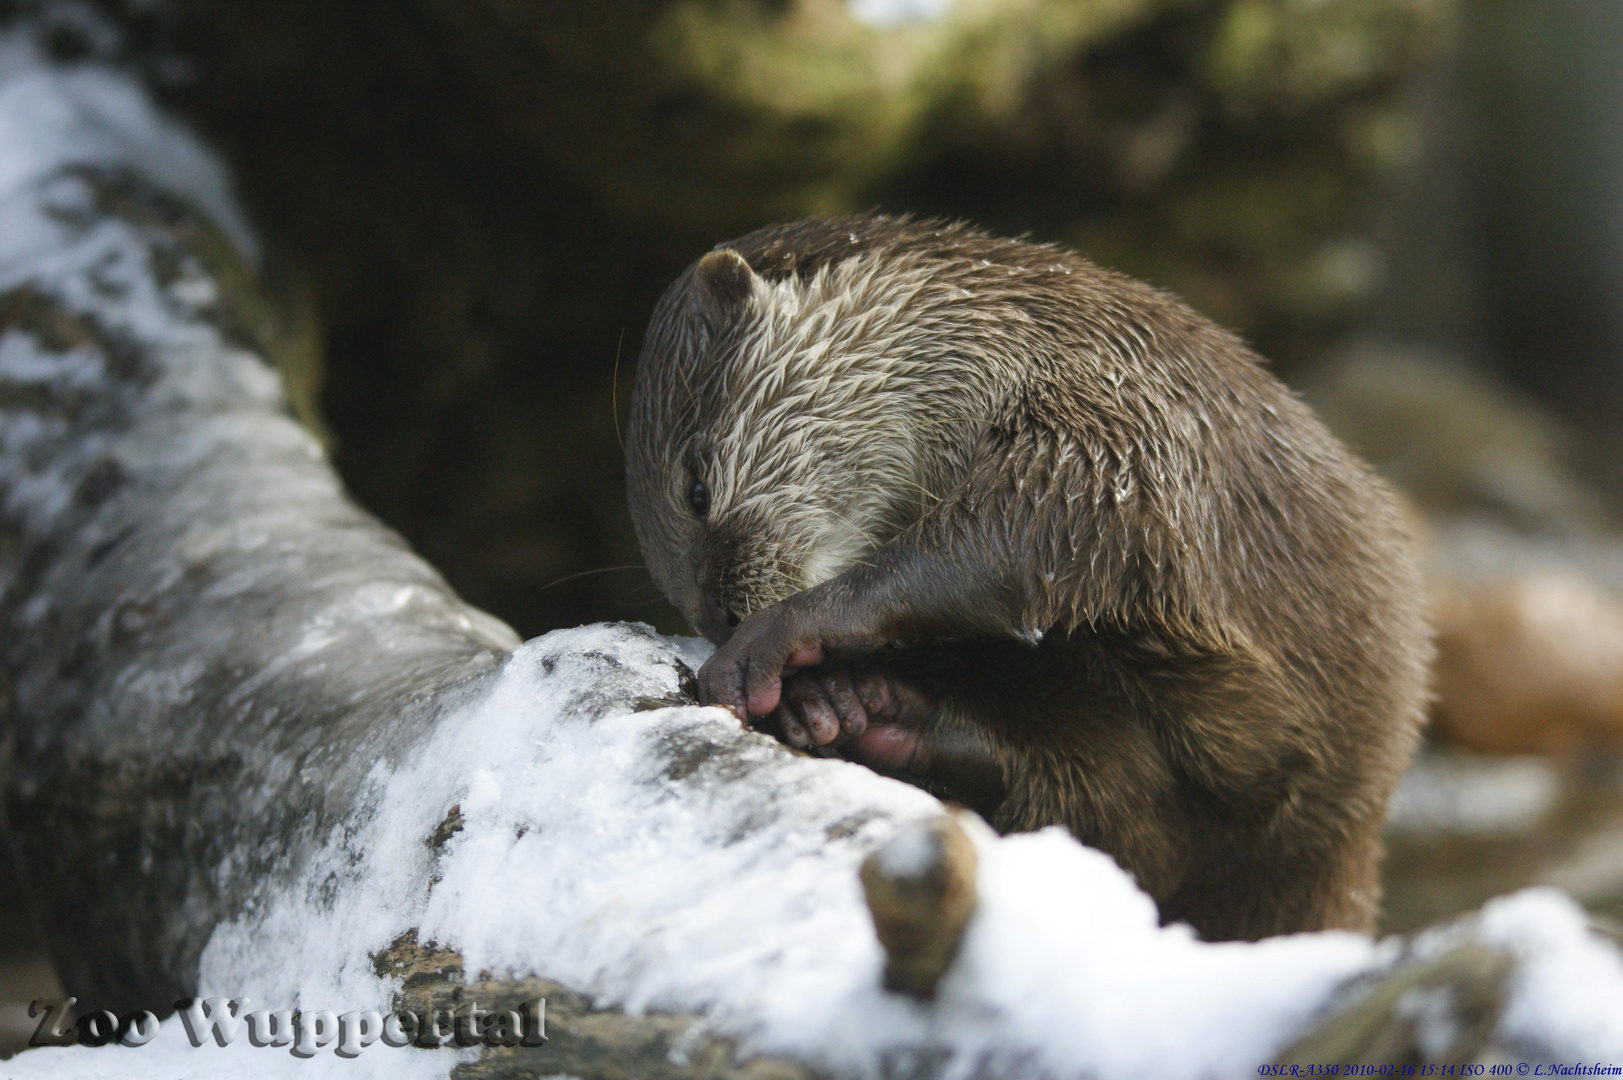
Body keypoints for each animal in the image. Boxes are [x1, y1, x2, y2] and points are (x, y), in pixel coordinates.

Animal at [626, 214, 1428, 941]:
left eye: (696, 489)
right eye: (672, 592)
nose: (723, 620)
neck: (993, 335)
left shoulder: (1112, 426)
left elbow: (1026, 537)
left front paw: (777, 639)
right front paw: (817, 692)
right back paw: (871, 712)